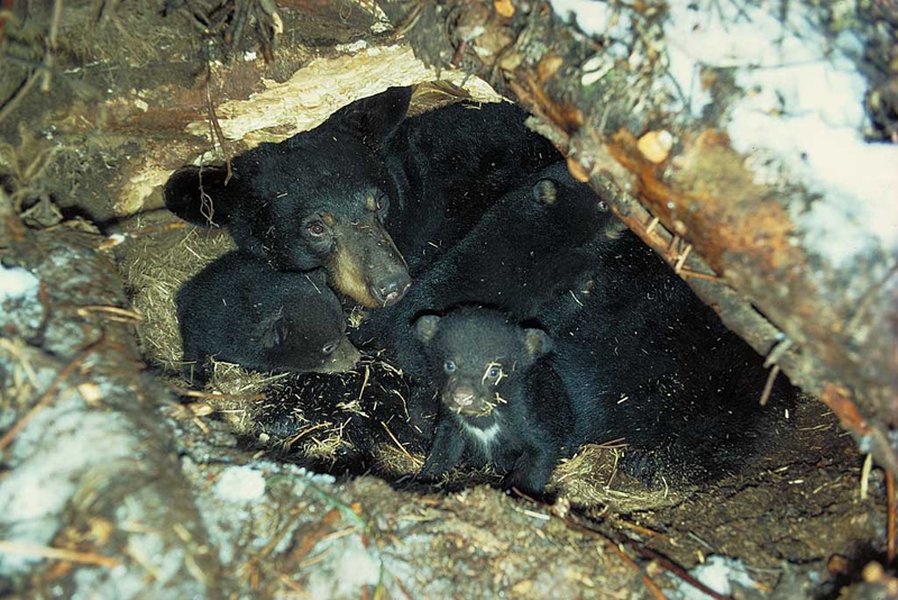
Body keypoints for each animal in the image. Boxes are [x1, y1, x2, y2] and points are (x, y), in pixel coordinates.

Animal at [413, 308, 576, 496]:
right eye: (449, 365)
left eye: (494, 371)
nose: (462, 397)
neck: (482, 418)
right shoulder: (451, 421)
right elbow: (443, 449)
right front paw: (427, 477)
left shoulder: (530, 416)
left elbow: (540, 452)